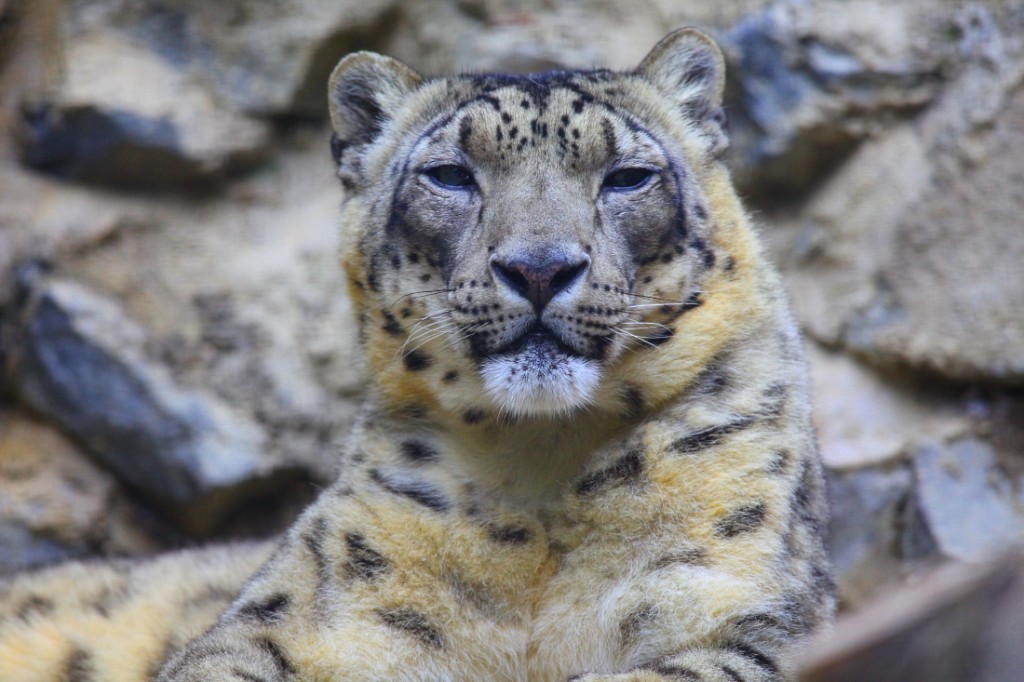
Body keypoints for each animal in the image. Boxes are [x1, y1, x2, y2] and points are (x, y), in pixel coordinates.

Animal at [0, 28, 835, 681]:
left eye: (628, 176)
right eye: (450, 175)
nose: (538, 267)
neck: (542, 459)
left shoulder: (752, 612)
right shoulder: (295, 623)